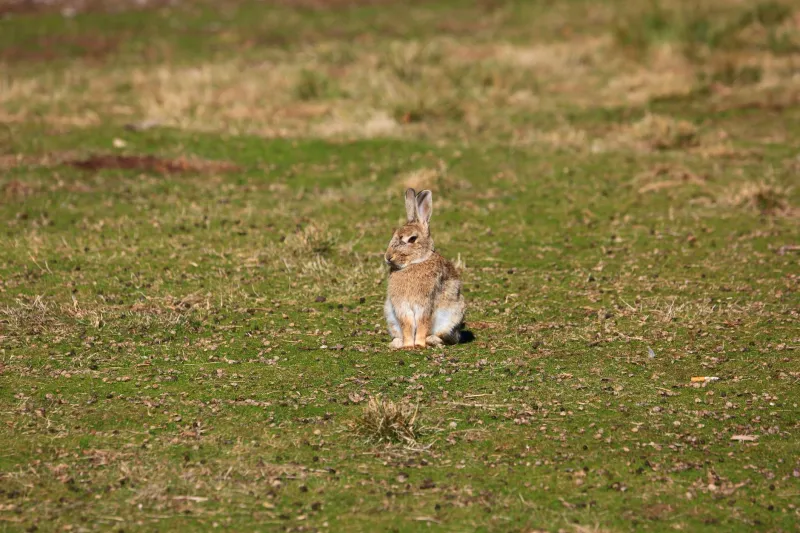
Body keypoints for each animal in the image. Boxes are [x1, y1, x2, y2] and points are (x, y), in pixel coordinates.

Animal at [384, 188, 465, 349]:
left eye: (412, 239)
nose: (388, 257)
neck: (414, 264)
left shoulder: (426, 303)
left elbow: (423, 323)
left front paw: (419, 344)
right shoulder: (401, 306)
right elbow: (407, 324)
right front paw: (408, 345)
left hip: (454, 314)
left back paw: (431, 340)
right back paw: (397, 343)